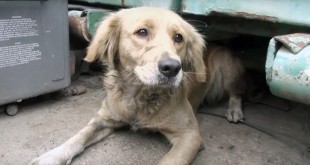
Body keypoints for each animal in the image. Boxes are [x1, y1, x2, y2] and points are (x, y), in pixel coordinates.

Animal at [31, 6, 245, 165]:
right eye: (142, 32)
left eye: (179, 38)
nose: (172, 68)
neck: (140, 95)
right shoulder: (103, 119)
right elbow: (78, 136)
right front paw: (52, 156)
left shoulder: (190, 136)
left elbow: (169, 161)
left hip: (228, 69)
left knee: (236, 93)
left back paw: (235, 111)